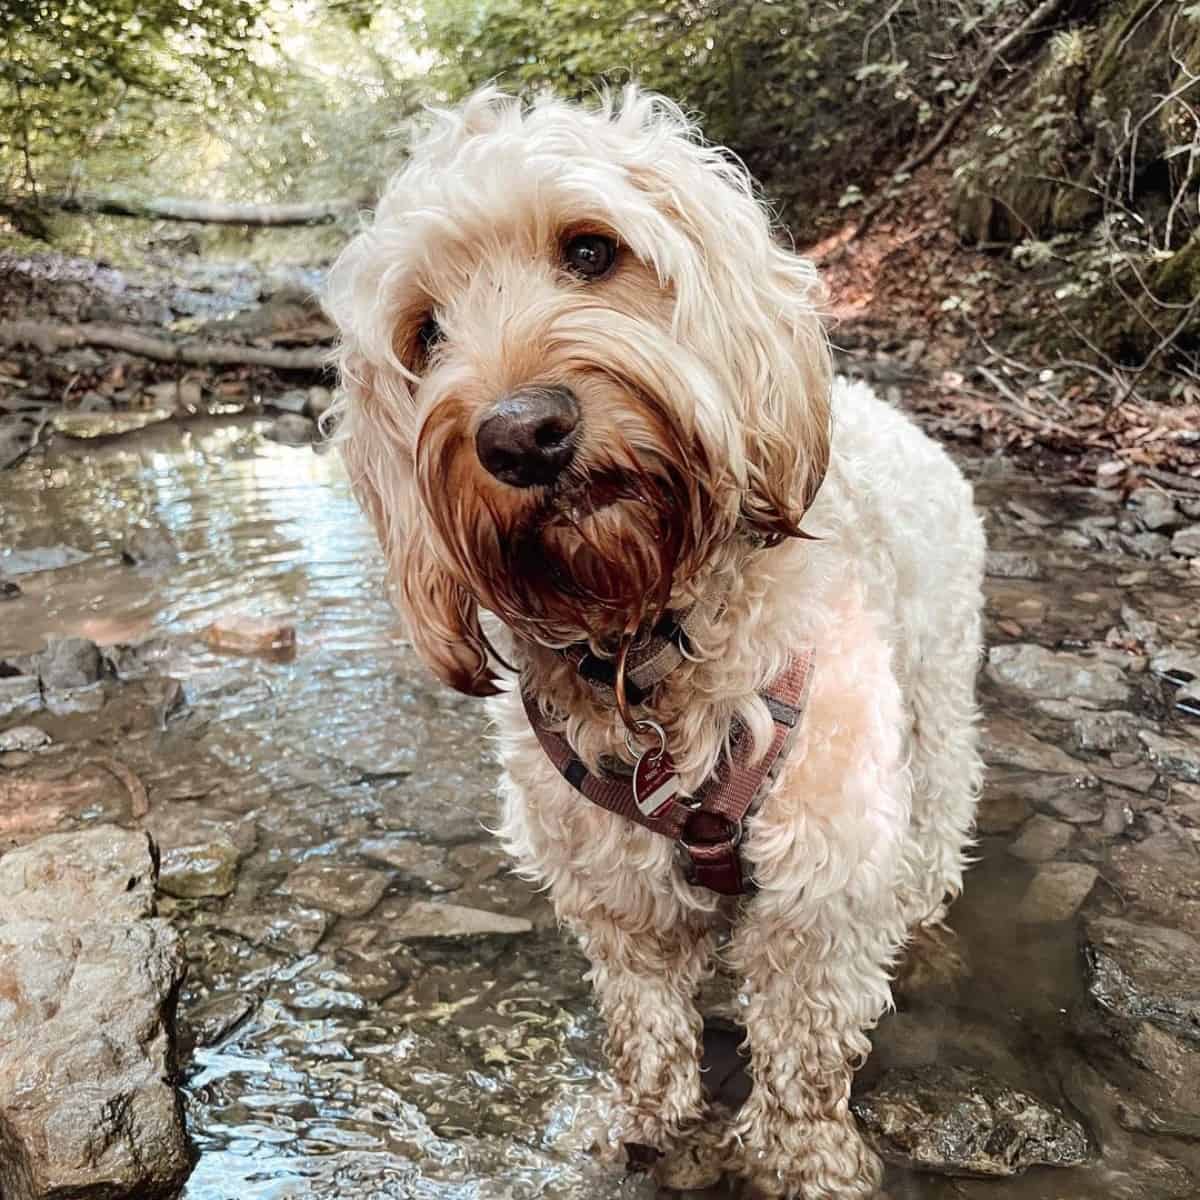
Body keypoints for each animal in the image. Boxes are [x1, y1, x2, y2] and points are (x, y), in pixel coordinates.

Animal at [324, 88, 979, 1195]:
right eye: (425, 333)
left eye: (591, 250)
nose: (520, 433)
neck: (648, 639)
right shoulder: (613, 886)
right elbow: (645, 1019)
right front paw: (641, 1121)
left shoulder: (821, 878)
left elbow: (804, 1048)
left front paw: (806, 1160)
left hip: (936, 708)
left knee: (936, 828)